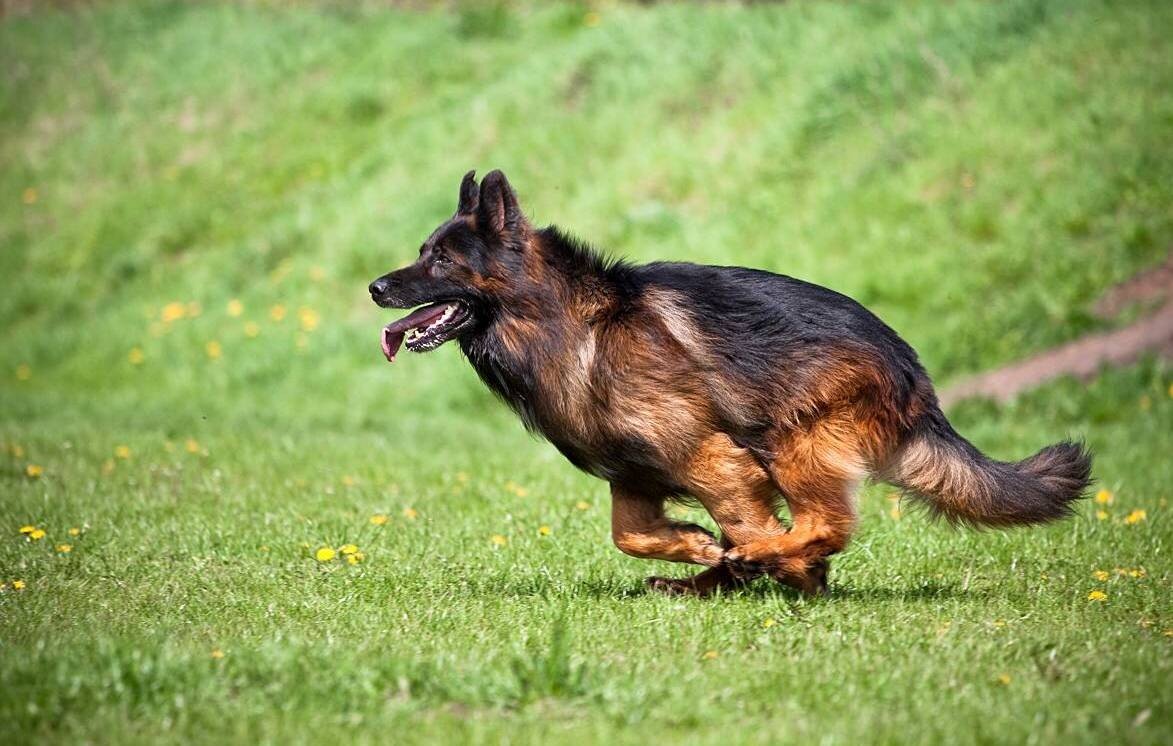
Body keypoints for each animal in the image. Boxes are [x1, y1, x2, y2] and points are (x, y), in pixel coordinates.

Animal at [365, 172, 1088, 598]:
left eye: (441, 259)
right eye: (423, 251)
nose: (374, 286)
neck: (566, 322)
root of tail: (916, 379)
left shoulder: (714, 459)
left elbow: (746, 522)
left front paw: (773, 567)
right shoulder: (635, 474)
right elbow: (629, 534)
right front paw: (696, 547)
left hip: (792, 441)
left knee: (826, 523)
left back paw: (761, 561)